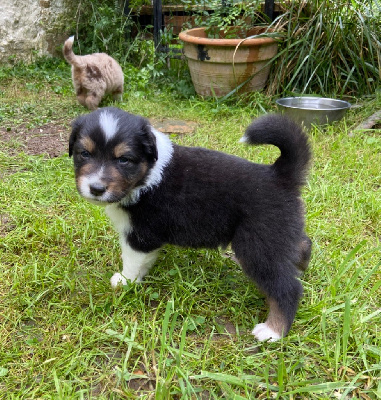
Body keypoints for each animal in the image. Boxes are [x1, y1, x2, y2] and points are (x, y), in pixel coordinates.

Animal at [69, 108, 312, 342]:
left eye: (124, 159)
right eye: (85, 153)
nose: (96, 188)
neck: (147, 175)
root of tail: (279, 175)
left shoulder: (140, 234)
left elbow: (131, 260)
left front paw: (124, 281)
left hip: (257, 245)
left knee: (287, 288)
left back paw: (273, 331)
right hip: (278, 232)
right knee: (302, 243)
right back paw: (300, 266)